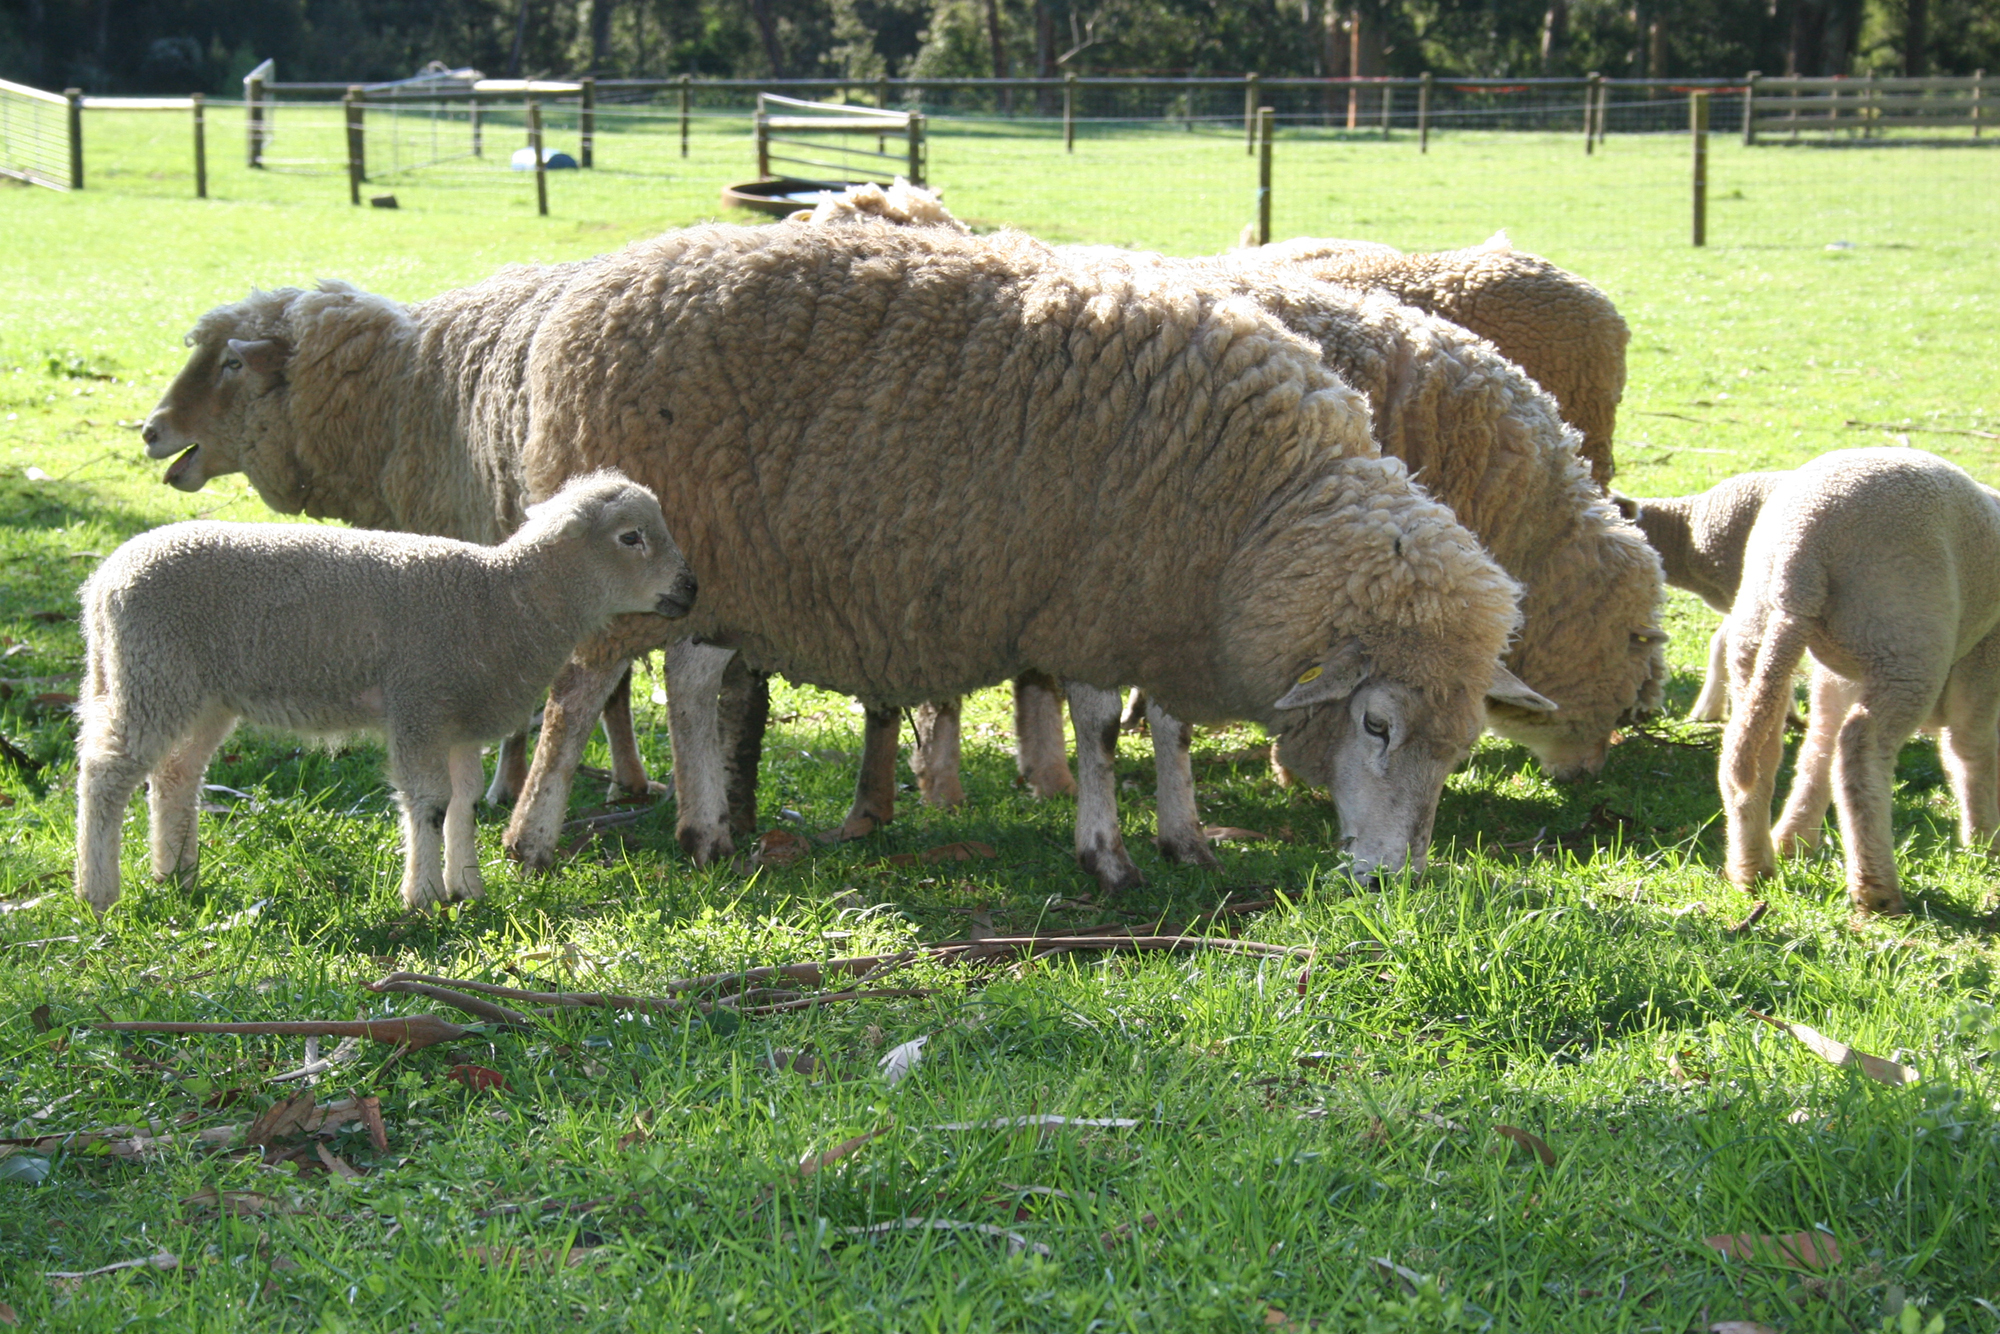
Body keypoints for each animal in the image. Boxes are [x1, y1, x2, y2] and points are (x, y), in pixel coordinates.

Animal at [73, 472, 697, 914]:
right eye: (631, 537)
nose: (691, 587)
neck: (504, 600)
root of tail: (103, 581)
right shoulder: (419, 703)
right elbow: (430, 802)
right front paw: (423, 897)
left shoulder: (459, 719)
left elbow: (465, 802)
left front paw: (467, 887)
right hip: (153, 674)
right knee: (106, 773)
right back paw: (98, 891)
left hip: (198, 692)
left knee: (176, 774)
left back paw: (176, 874)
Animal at [501, 220, 1552, 890]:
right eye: (1375, 725)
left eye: (1462, 749)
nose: (1392, 882)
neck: (1261, 514)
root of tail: (581, 304)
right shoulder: (1092, 606)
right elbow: (1099, 731)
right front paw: (1107, 853)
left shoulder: (1158, 606)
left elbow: (1170, 731)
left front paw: (1185, 838)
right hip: (638, 570)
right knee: (577, 692)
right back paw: (531, 839)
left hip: (722, 577)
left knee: (686, 682)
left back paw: (706, 830)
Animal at [1719, 448, 2000, 916]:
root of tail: (1802, 547)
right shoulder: (1983, 658)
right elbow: (1971, 750)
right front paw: (1985, 845)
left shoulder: (1841, 670)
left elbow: (1819, 740)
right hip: (1903, 637)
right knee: (1859, 748)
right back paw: (1877, 890)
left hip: (1763, 629)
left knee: (1769, 746)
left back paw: (1757, 866)